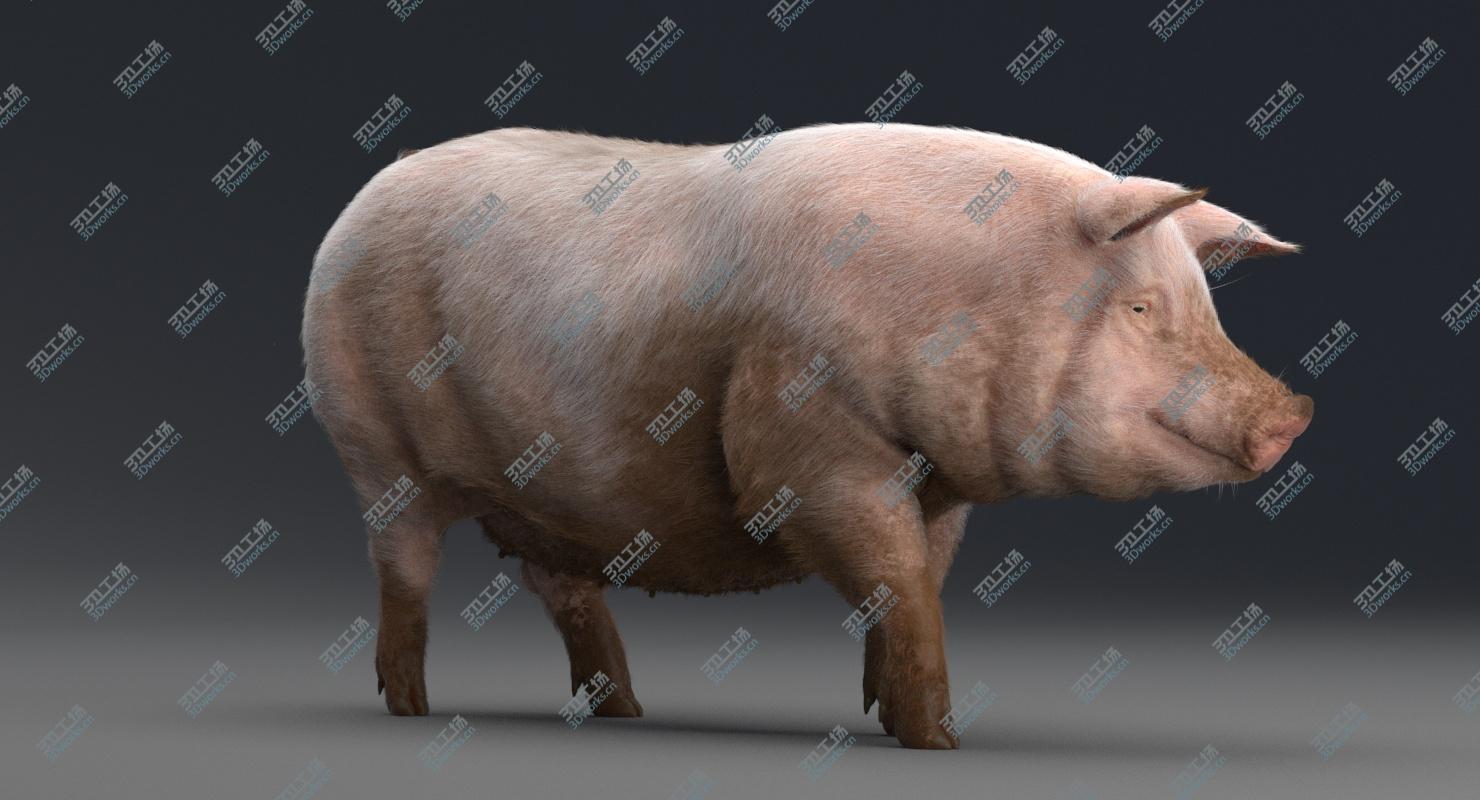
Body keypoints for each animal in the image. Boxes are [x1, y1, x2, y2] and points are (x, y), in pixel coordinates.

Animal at [301, 122, 1312, 749]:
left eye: (1207, 308)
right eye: (1140, 308)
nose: (1293, 416)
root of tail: (363, 195)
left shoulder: (938, 480)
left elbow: (916, 579)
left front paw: (881, 718)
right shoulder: (812, 442)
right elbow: (896, 581)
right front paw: (940, 742)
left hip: (548, 493)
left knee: (563, 587)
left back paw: (626, 712)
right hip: (370, 442)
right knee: (404, 566)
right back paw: (412, 708)